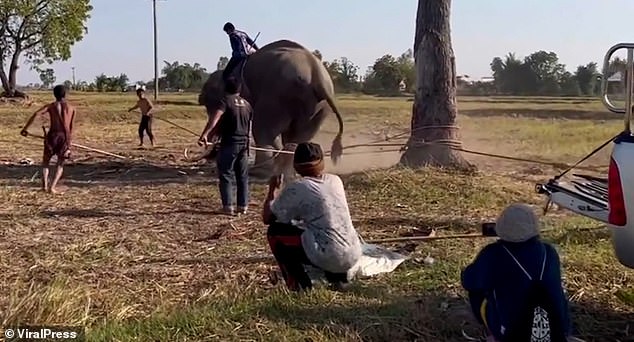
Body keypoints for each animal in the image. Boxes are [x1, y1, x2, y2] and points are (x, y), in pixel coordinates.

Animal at [199, 39, 344, 180]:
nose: (208, 155)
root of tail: (318, 78)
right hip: (318, 107)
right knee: (298, 137)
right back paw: (287, 170)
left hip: (278, 96)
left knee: (263, 129)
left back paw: (260, 171)